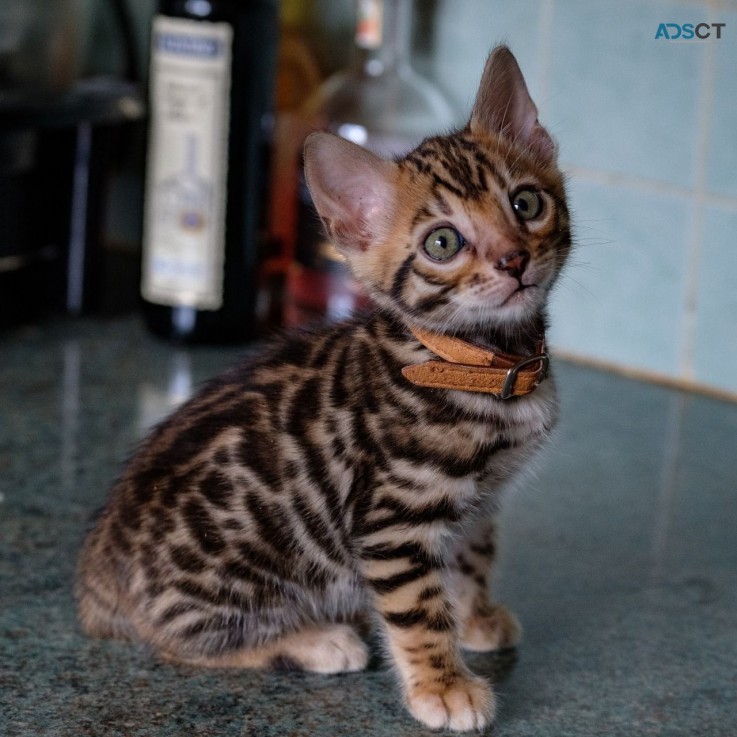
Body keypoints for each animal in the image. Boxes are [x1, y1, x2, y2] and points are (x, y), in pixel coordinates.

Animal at [76, 47, 568, 732]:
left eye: (525, 204)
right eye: (443, 243)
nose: (513, 260)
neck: (477, 361)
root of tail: (101, 573)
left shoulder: (479, 503)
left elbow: (468, 560)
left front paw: (474, 615)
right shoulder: (394, 519)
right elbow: (419, 609)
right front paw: (442, 686)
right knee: (175, 639)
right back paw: (316, 640)